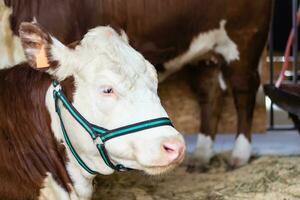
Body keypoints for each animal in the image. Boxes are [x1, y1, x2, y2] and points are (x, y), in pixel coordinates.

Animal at [0, 0, 272, 168]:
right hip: (204, 54)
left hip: (245, 38)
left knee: (244, 92)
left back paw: (239, 154)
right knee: (210, 93)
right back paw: (202, 155)